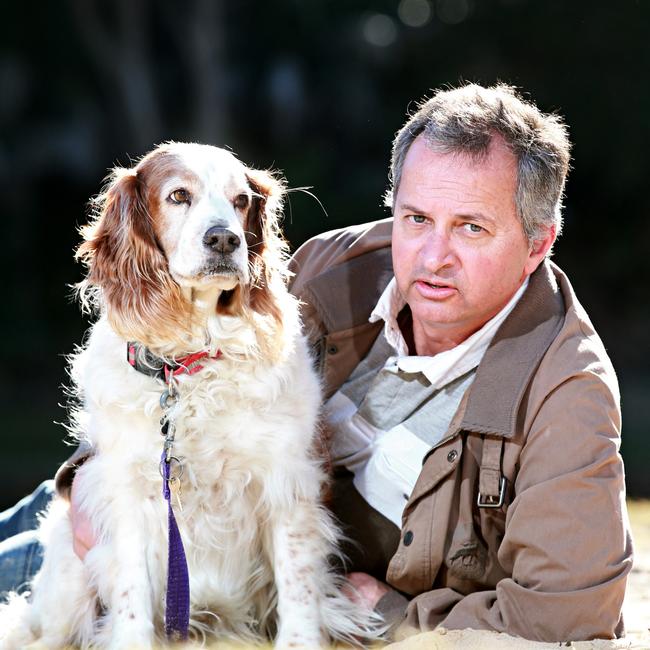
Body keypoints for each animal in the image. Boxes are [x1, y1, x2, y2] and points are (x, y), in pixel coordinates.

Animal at [0, 143, 378, 648]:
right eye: (179, 195)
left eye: (241, 201)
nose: (225, 240)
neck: (187, 368)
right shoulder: (126, 491)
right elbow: (131, 595)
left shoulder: (285, 481)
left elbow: (297, 584)